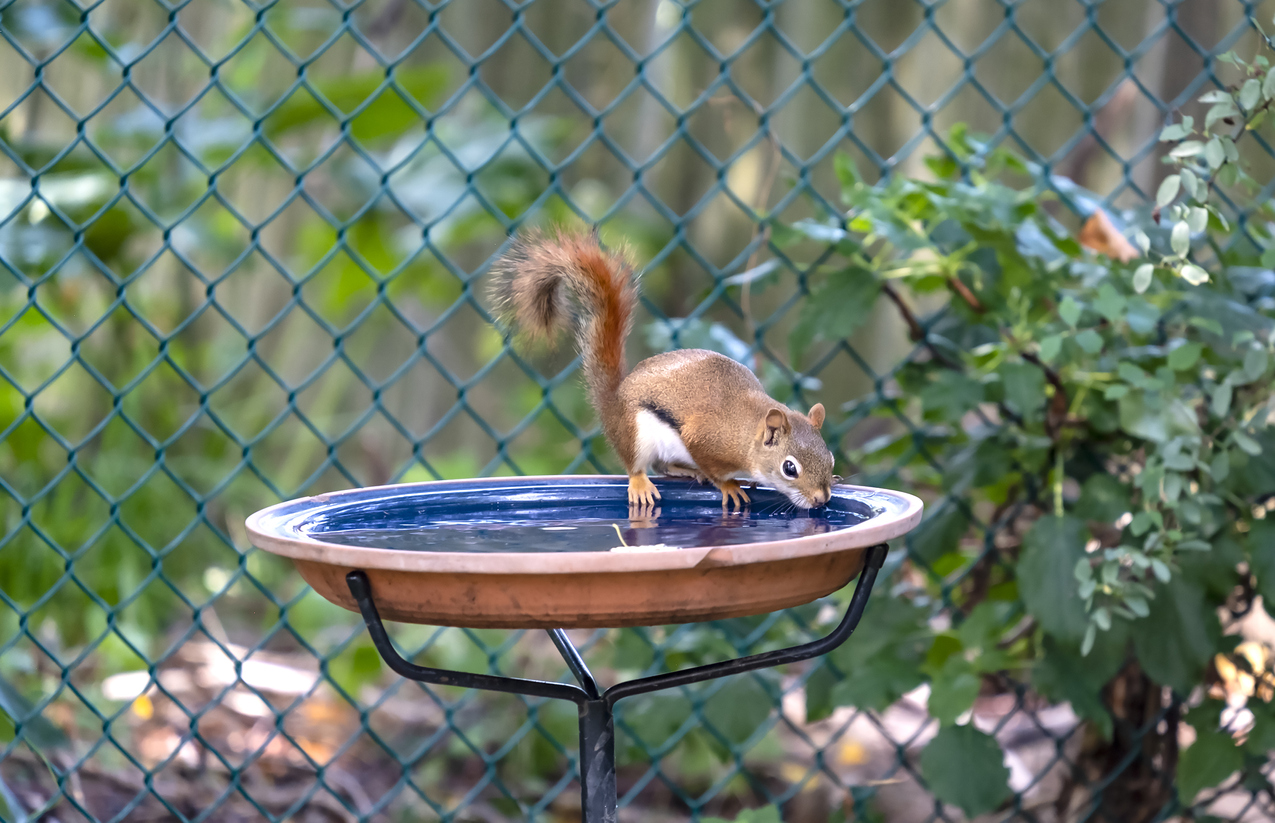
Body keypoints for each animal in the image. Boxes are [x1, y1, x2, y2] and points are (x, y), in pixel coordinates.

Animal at [487, 230, 836, 510]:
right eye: (789, 468)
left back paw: (687, 471)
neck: (745, 431)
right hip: (636, 432)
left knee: (664, 466)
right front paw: (728, 485)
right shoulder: (704, 438)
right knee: (640, 465)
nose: (822, 499)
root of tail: (613, 402)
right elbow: (715, 469)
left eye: (830, 458)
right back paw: (643, 482)